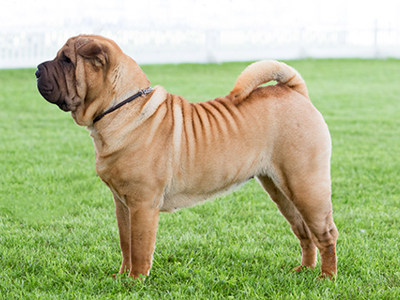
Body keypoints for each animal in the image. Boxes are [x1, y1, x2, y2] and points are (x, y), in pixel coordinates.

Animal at [36, 35, 338, 282]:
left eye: (66, 60)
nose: (38, 69)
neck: (121, 108)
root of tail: (295, 91)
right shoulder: (122, 204)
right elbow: (126, 243)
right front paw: (121, 276)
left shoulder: (143, 205)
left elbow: (140, 246)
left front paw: (135, 281)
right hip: (280, 190)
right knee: (304, 231)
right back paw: (305, 269)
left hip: (305, 185)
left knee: (325, 233)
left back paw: (326, 276)